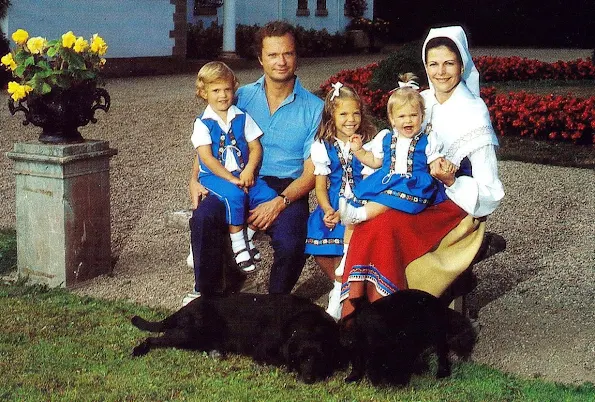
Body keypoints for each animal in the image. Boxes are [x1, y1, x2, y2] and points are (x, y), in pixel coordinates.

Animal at [130, 292, 344, 384]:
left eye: (318, 357)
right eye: (302, 358)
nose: (309, 379)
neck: (305, 320)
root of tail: (185, 308)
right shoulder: (263, 352)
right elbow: (282, 360)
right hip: (189, 333)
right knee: (152, 339)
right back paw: (138, 350)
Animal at [340, 288, 474, 386]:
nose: (345, 340)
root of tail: (440, 305)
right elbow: (359, 364)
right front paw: (354, 378)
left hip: (436, 337)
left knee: (441, 353)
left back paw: (441, 373)